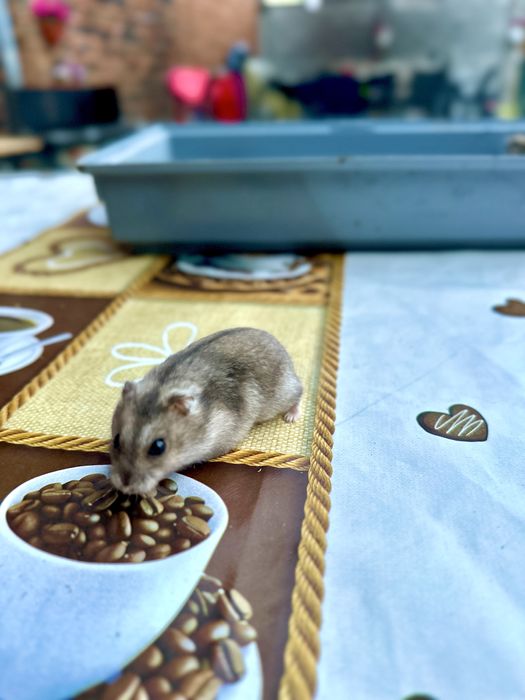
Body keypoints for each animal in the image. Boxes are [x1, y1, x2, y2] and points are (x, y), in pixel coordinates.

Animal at [109, 327, 303, 494]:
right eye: (116, 440)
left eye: (158, 447)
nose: (124, 486)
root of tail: (278, 344)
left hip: (283, 394)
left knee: (300, 390)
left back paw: (291, 417)